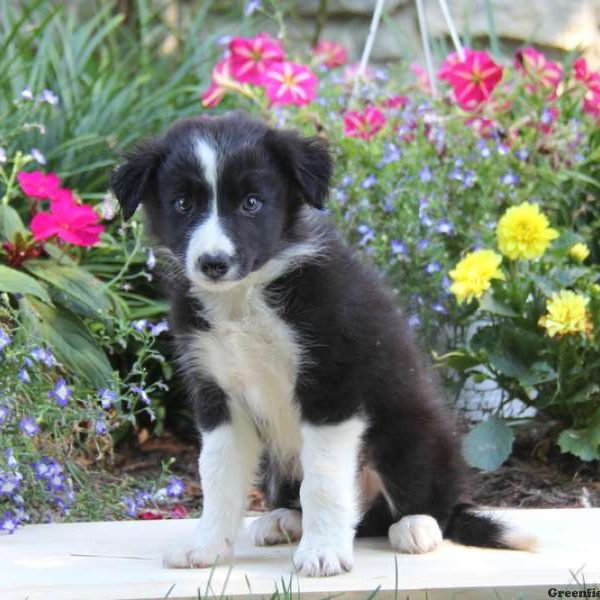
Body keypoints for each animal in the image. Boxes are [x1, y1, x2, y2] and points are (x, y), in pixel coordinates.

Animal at [110, 111, 532, 576]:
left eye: (252, 203)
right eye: (183, 204)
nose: (213, 263)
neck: (246, 297)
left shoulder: (332, 384)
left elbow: (324, 479)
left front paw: (323, 552)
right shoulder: (218, 394)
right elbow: (218, 476)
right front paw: (206, 547)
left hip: (407, 431)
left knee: (430, 504)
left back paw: (415, 526)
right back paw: (283, 520)